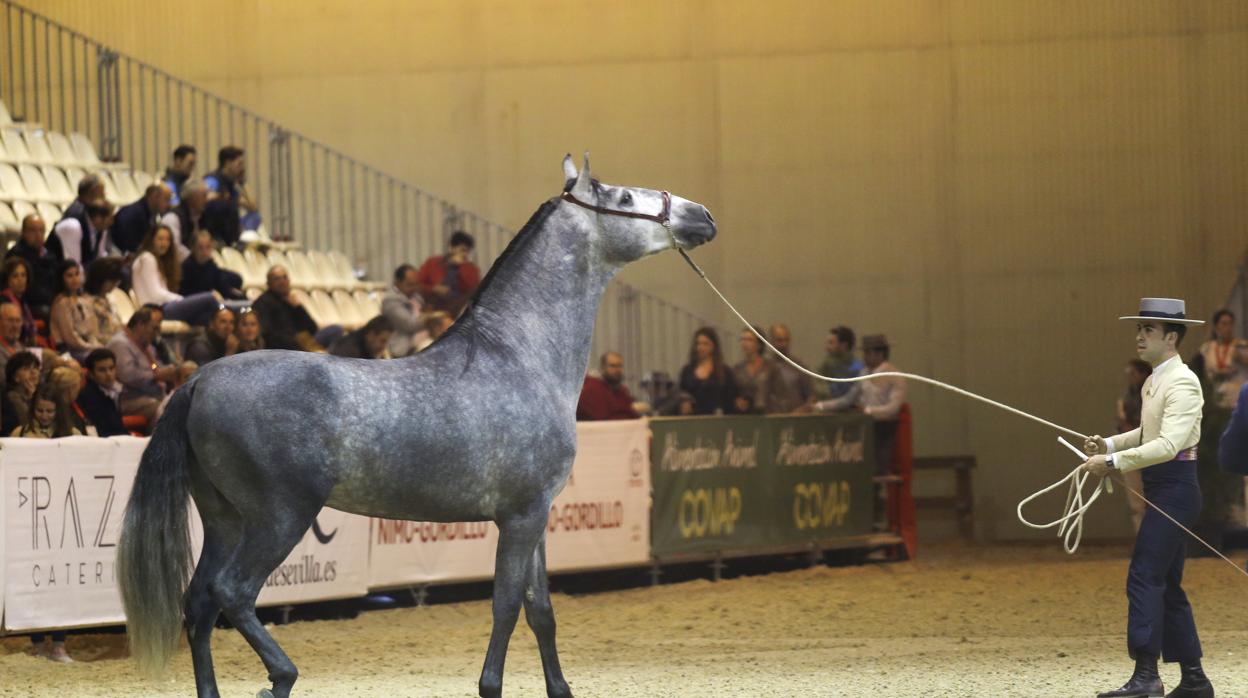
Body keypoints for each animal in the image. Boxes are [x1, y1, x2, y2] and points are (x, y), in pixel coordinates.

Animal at [117, 154, 723, 698]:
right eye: (622, 197)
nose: (702, 216)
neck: (517, 356)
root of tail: (200, 379)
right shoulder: (521, 517)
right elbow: (506, 607)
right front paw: (490, 686)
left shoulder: (536, 517)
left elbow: (541, 610)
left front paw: (560, 689)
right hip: (279, 516)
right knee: (233, 593)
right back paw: (281, 677)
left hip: (224, 519)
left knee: (198, 604)